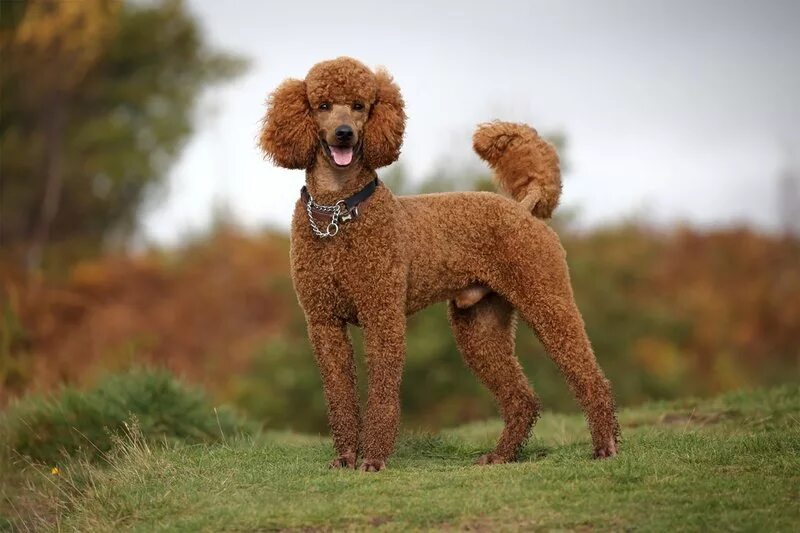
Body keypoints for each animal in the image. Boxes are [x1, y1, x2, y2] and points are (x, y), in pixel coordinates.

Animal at [260, 56, 620, 470]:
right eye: (322, 106)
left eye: (359, 105)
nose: (345, 134)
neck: (340, 210)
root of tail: (522, 206)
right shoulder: (323, 322)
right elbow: (339, 396)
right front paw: (346, 457)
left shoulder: (382, 314)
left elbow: (383, 392)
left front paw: (374, 460)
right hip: (478, 326)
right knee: (522, 399)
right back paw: (500, 456)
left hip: (547, 299)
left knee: (590, 377)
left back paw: (606, 446)